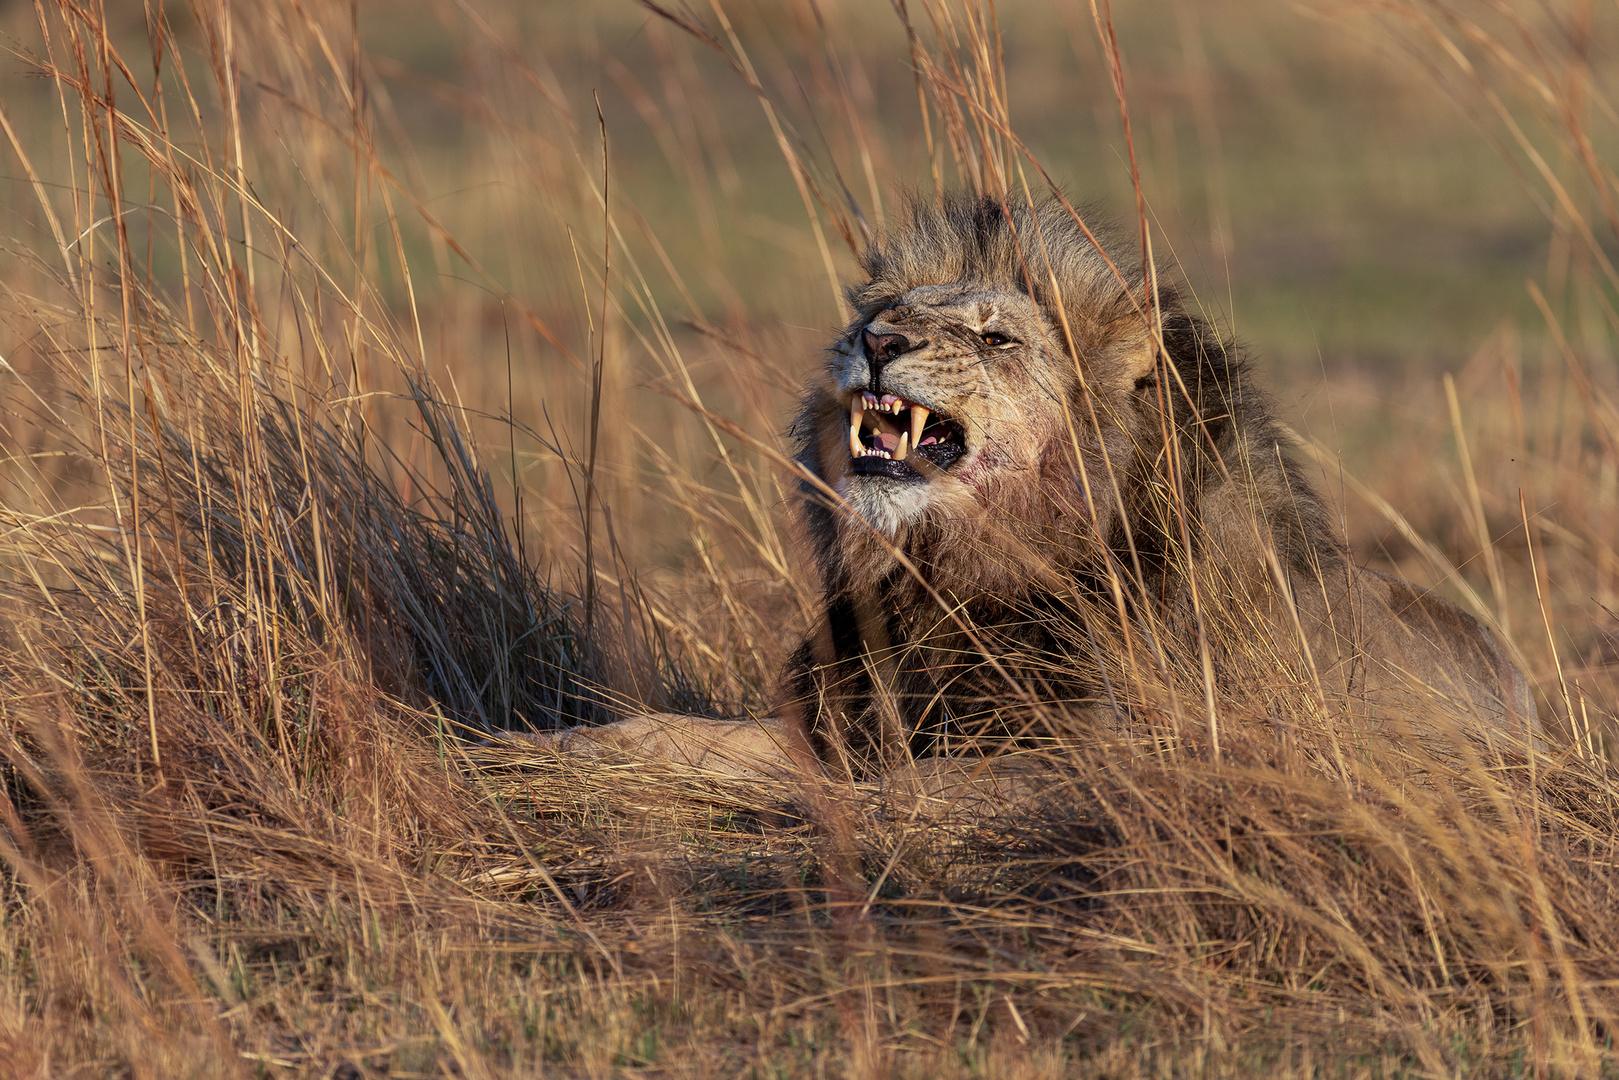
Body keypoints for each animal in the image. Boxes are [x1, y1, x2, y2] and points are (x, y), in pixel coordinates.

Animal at [524, 194, 1534, 786]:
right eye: (877, 313)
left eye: (994, 338)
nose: (877, 342)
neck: (948, 576)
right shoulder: (850, 711)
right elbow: (711, 736)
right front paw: (573, 745)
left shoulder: (1082, 747)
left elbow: (900, 784)